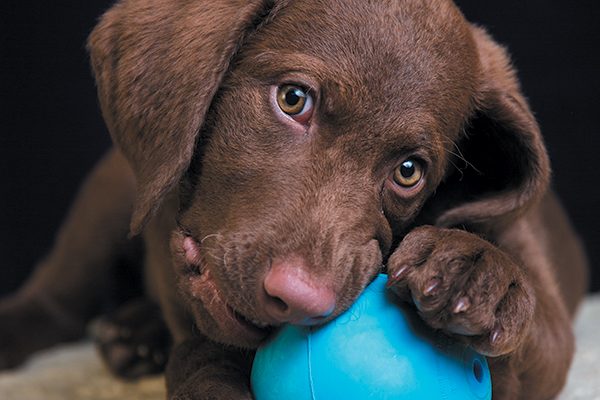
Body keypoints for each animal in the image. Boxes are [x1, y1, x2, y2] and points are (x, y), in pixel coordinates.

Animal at [0, 0, 584, 400]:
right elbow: (202, 352)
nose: (301, 298)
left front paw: (480, 272)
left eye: (409, 172)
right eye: (292, 98)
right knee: (56, 299)